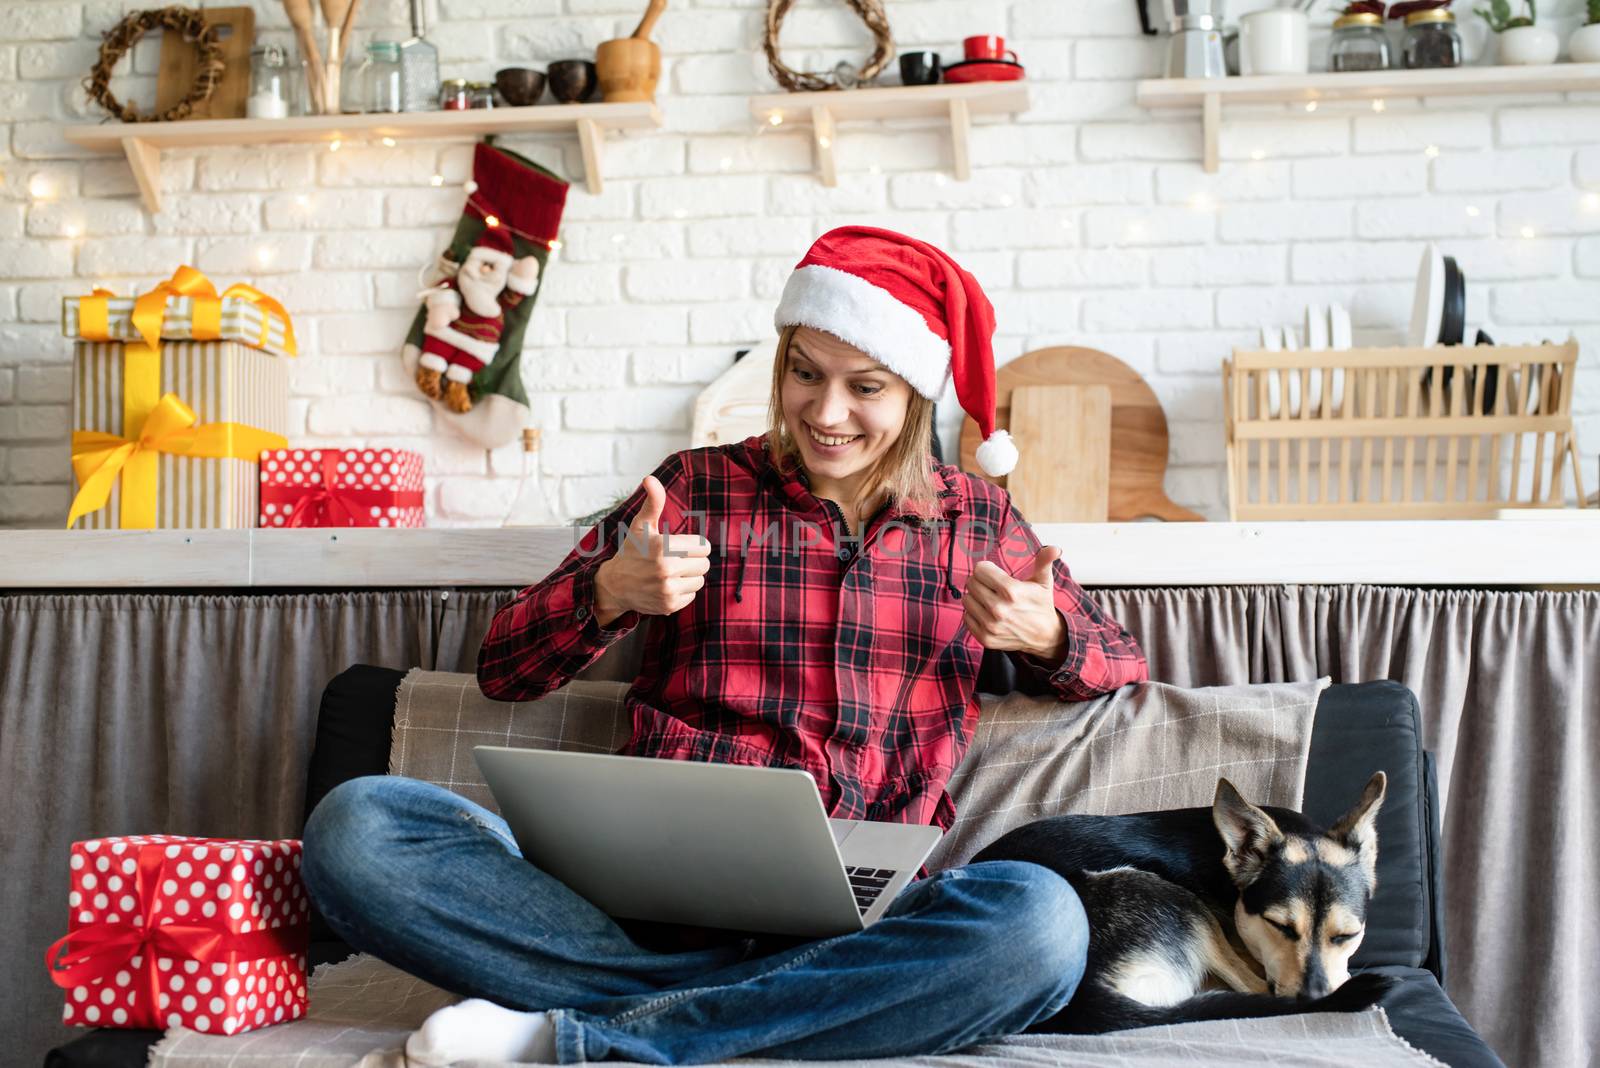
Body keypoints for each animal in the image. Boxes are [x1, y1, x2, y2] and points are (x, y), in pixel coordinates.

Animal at [966, 767, 1395, 1036]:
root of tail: (1076, 997)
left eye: (1347, 936)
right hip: (1176, 899)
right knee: (1250, 987)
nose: (1317, 1000)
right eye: (1280, 926)